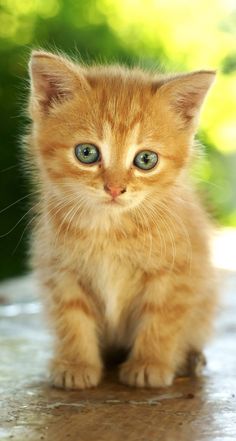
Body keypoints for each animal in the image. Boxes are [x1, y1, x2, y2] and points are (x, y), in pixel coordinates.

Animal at [26, 49, 218, 388]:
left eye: (146, 159)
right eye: (86, 153)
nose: (114, 188)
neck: (110, 229)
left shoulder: (177, 273)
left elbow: (162, 317)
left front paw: (150, 363)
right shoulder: (60, 270)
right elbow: (71, 317)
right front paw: (76, 364)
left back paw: (191, 359)